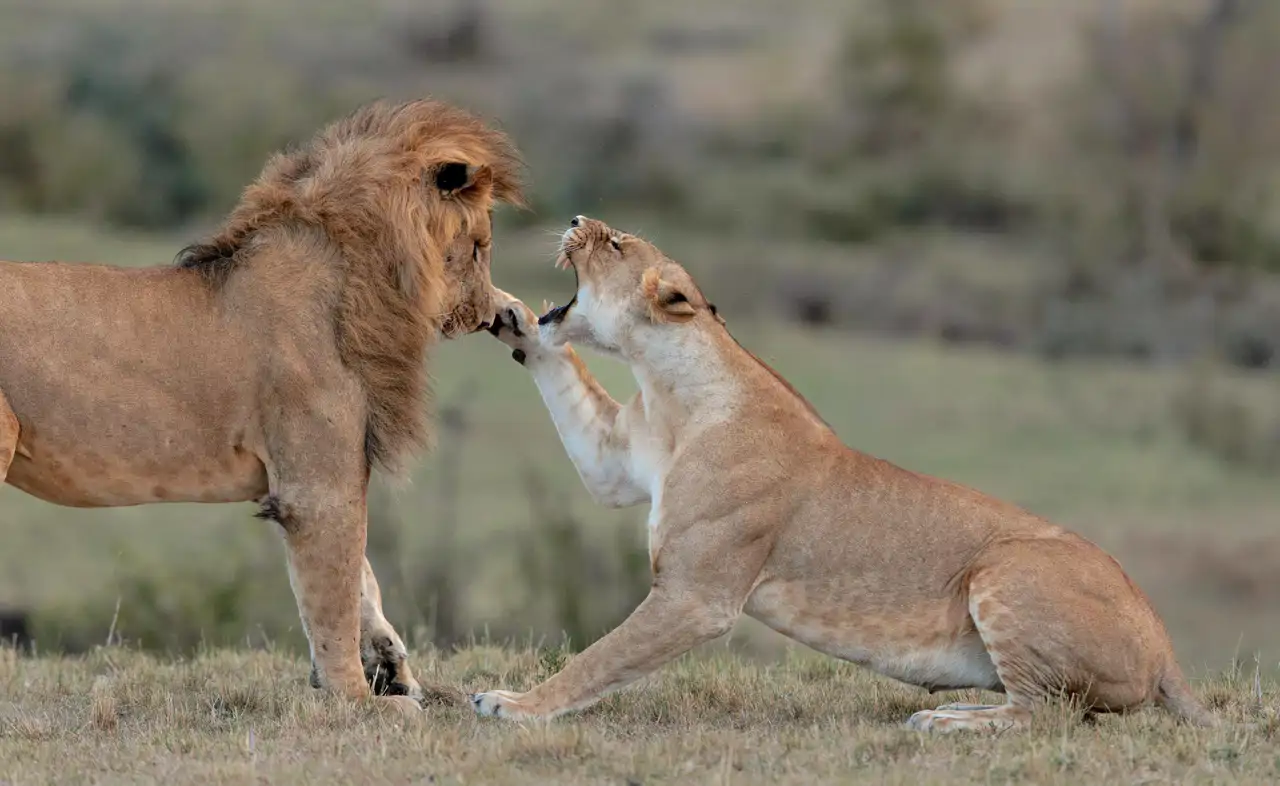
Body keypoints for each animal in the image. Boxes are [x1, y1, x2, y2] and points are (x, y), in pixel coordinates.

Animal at [0, 98, 522, 712]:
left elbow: (360, 582)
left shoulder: (308, 476)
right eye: (480, 246)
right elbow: (334, 596)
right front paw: (359, 701)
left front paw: (390, 670)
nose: (496, 313)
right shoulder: (315, 489)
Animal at [472, 215, 1215, 731]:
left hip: (1006, 569)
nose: (575, 218)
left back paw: (945, 721)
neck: (668, 392)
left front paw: (513, 704)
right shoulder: (614, 462)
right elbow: (565, 373)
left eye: (617, 243)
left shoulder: (696, 596)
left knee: (1050, 714)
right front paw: (514, 318)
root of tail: (1165, 647)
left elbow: (599, 658)